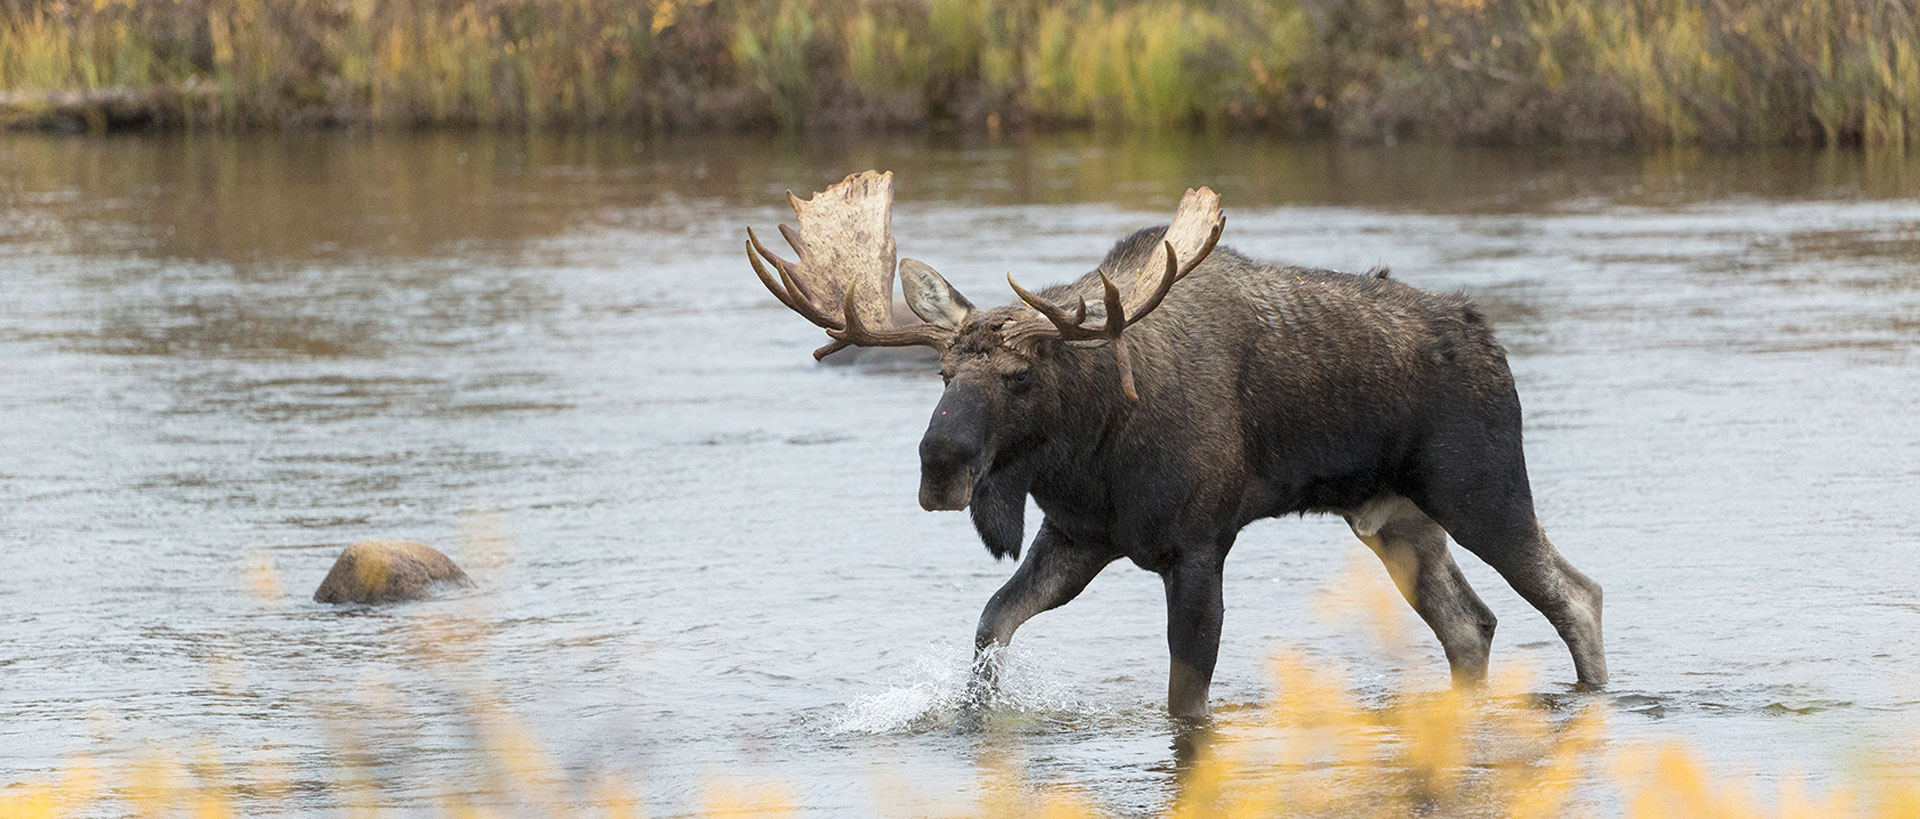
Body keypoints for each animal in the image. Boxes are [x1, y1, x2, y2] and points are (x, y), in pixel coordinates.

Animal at [741, 169, 1612, 721]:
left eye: (1020, 376)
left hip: (1481, 490)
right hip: (1393, 518)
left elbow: (1184, 702)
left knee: (1576, 593)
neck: (1088, 455)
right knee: (1473, 624)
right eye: (945, 372)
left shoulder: (1198, 545)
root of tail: (1484, 330)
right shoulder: (1077, 537)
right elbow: (992, 627)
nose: (939, 467)